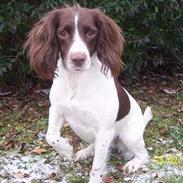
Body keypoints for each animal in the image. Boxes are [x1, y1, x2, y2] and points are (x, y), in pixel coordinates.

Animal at [24, 5, 153, 183]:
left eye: (91, 33)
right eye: (62, 33)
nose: (78, 59)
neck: (77, 82)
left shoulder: (104, 131)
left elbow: (97, 168)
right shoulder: (56, 109)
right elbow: (50, 136)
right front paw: (66, 149)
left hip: (129, 135)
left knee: (143, 153)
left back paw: (133, 164)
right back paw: (86, 151)